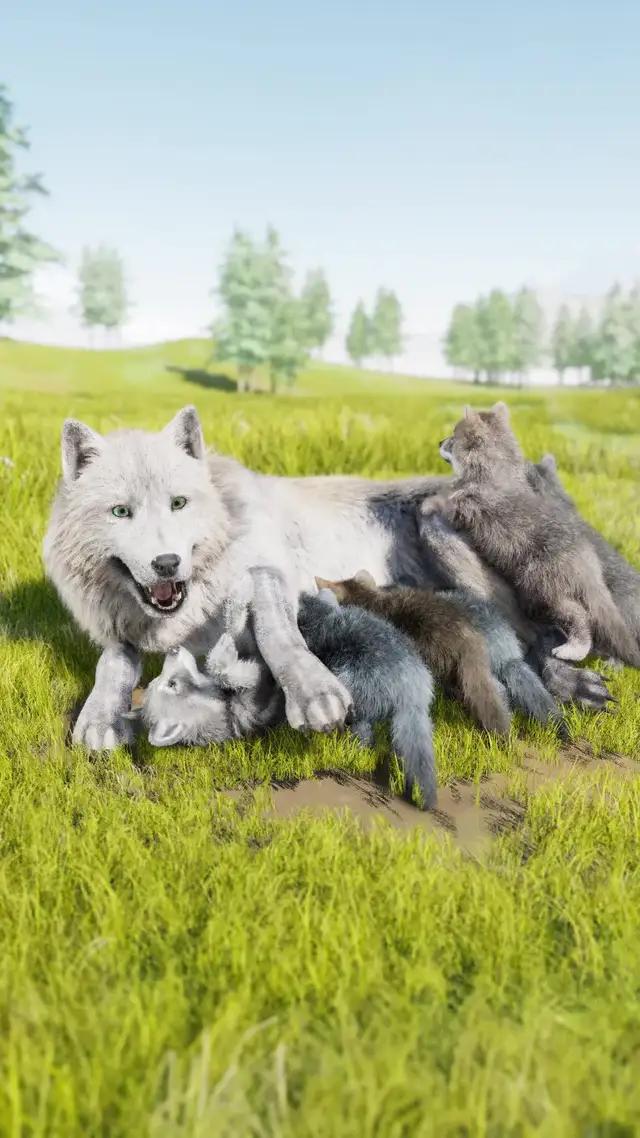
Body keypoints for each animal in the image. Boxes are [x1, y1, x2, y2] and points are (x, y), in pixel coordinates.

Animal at [42, 405, 610, 751]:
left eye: (179, 503)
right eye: (121, 512)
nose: (165, 563)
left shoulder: (271, 571)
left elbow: (280, 636)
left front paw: (316, 695)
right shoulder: (121, 634)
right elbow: (112, 665)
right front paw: (99, 719)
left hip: (445, 533)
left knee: (536, 636)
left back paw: (574, 683)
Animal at [427, 402, 640, 666]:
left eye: (453, 435)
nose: (438, 441)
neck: (496, 469)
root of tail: (589, 567)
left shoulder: (465, 508)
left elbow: (447, 500)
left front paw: (429, 501)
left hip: (542, 587)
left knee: (579, 616)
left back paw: (572, 650)